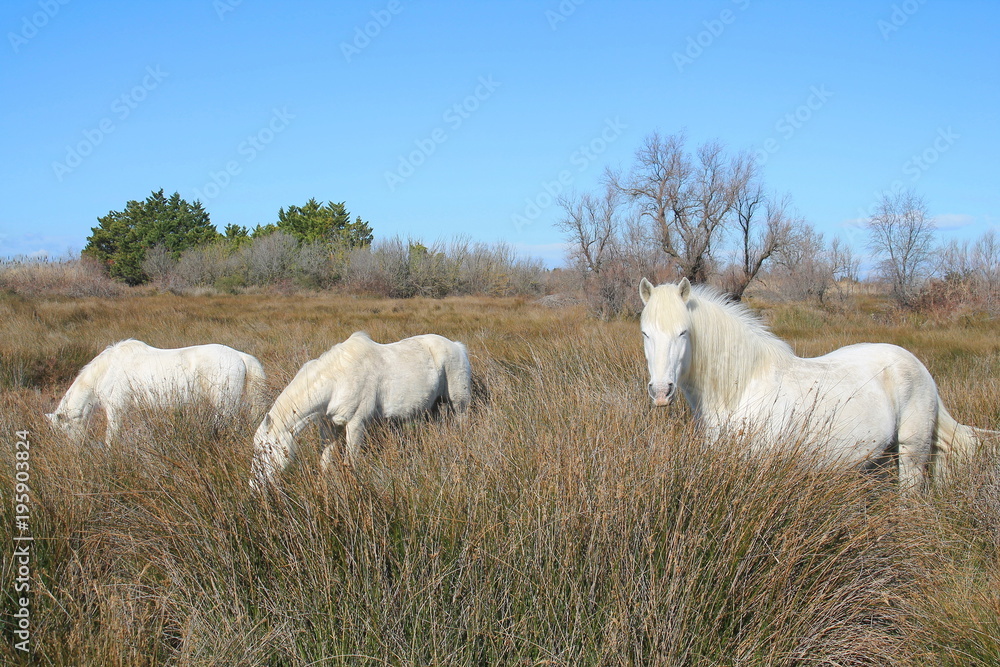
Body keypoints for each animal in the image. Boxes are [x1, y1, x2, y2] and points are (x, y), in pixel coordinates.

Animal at [46, 339, 266, 445]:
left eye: (65, 428)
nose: (75, 451)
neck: (107, 370)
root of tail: (239, 356)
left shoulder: (116, 408)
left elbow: (111, 435)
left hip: (224, 403)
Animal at [251, 331, 472, 486]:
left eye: (266, 451)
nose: (255, 486)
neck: (337, 379)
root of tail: (456, 346)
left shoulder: (356, 424)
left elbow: (351, 461)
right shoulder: (329, 426)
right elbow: (325, 461)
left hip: (459, 404)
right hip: (433, 408)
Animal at [638, 277, 987, 491]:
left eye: (683, 332)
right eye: (645, 333)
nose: (661, 392)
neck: (742, 388)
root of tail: (919, 367)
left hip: (912, 451)